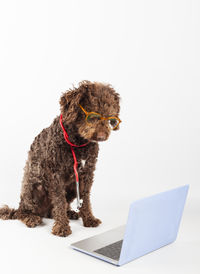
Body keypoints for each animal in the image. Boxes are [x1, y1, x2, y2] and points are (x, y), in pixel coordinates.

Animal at [0, 80, 120, 237]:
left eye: (110, 116)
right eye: (92, 114)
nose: (101, 136)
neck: (78, 143)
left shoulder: (87, 174)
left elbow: (85, 199)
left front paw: (89, 219)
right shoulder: (55, 175)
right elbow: (59, 201)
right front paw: (62, 226)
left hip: (71, 188)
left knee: (53, 211)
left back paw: (70, 213)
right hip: (32, 188)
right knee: (23, 211)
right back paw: (31, 218)